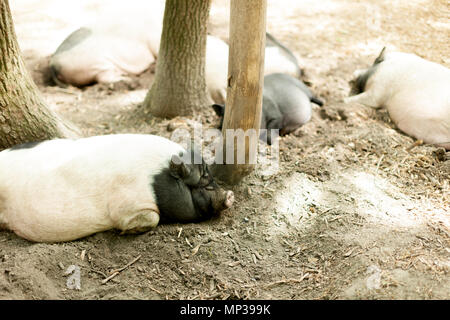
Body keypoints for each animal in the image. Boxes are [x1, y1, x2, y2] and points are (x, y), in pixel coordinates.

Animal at [0, 134, 234, 241]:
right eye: (203, 181)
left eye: (211, 177)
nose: (230, 194)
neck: (156, 181)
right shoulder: (128, 205)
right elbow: (152, 218)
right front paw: (126, 232)